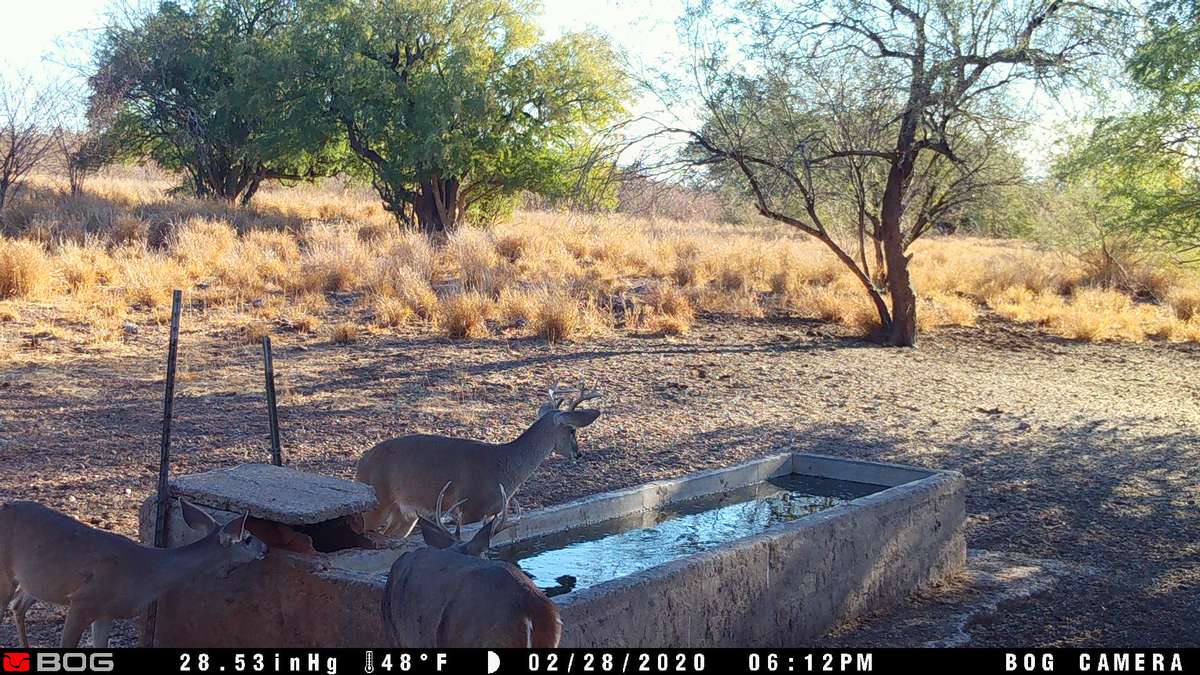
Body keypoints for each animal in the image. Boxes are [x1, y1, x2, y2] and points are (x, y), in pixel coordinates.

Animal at [0, 499, 267, 647]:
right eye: (248, 538)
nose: (266, 547)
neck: (144, 572)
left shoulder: (105, 612)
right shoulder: (84, 600)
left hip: (35, 581)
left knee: (18, 606)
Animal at [356, 381, 602, 536]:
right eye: (572, 430)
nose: (578, 453)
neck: (505, 466)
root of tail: (362, 462)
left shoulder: (492, 511)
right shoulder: (471, 507)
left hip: (406, 513)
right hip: (378, 500)